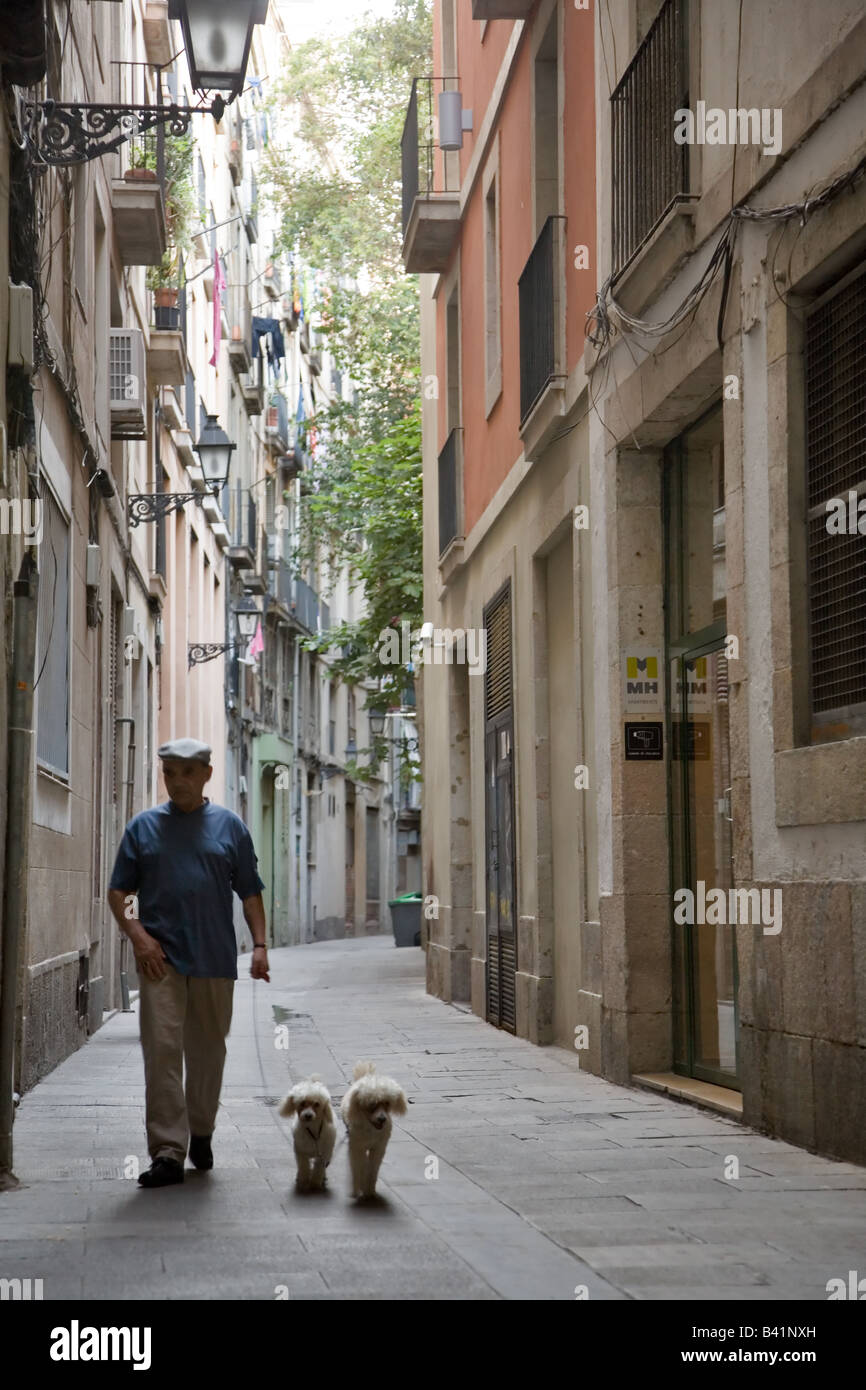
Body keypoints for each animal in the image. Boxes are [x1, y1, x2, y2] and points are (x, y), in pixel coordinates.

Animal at [340, 1056, 408, 1200]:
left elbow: (372, 1170)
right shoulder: (357, 1148)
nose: (382, 1119)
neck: (371, 1129)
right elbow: (358, 1168)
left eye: (387, 1103)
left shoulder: (378, 1148)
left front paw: (370, 1190)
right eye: (372, 1103)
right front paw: (357, 1189)